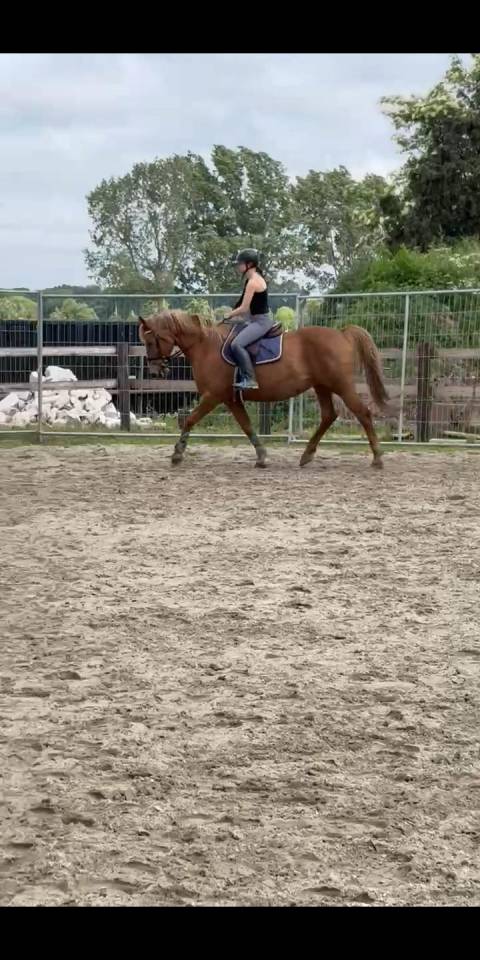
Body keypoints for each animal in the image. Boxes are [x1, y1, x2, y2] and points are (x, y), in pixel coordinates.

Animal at [138, 310, 389, 470]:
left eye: (150, 342)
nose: (155, 371)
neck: (205, 347)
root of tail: (343, 333)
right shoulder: (232, 399)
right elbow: (247, 426)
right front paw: (262, 457)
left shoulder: (213, 397)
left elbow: (190, 419)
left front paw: (177, 454)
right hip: (322, 386)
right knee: (329, 415)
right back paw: (307, 455)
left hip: (341, 385)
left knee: (363, 413)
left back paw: (377, 458)